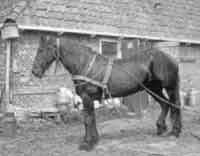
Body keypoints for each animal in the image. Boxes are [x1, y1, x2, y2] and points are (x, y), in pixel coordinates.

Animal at [32, 35, 182, 150]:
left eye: (43, 49)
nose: (35, 72)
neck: (85, 64)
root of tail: (169, 58)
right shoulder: (88, 100)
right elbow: (91, 119)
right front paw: (94, 139)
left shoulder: (87, 98)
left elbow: (88, 120)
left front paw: (87, 143)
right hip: (152, 89)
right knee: (165, 104)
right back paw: (161, 128)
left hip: (169, 87)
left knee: (174, 105)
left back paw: (175, 132)